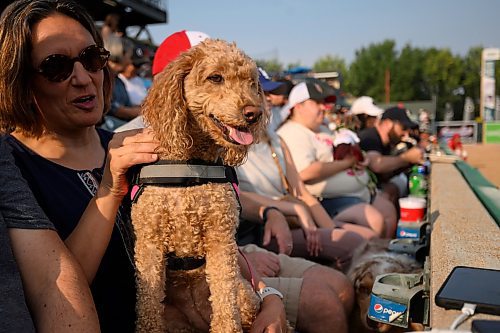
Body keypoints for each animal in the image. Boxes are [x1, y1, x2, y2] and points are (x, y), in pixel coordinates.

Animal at [131, 39, 268, 332]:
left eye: (251, 83)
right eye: (215, 78)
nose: (254, 113)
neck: (190, 165)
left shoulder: (222, 240)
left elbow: (226, 304)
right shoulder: (149, 243)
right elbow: (148, 304)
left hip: (247, 297)